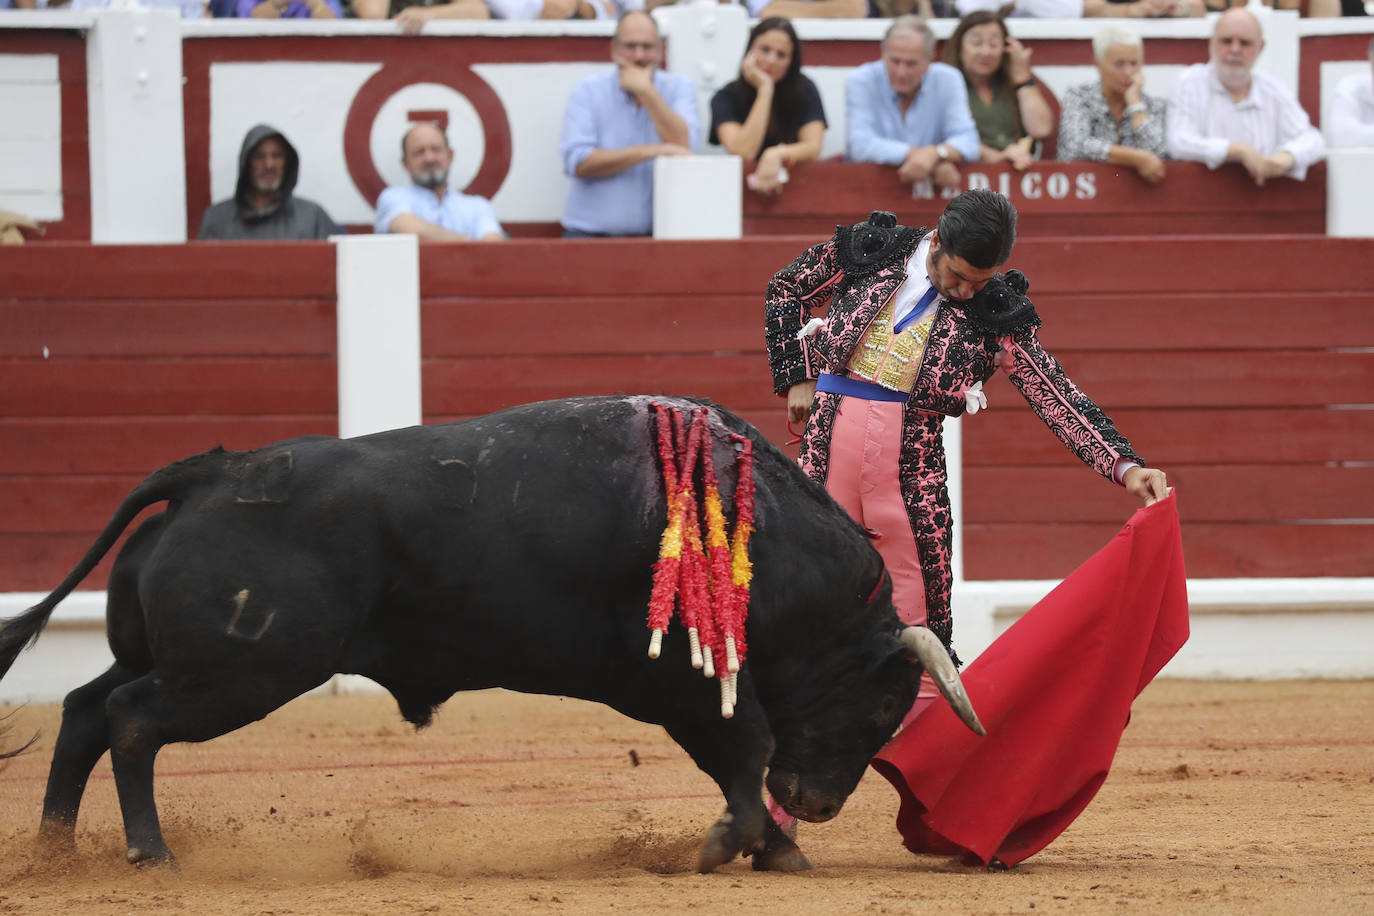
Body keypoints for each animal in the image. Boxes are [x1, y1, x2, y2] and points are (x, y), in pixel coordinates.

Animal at [0, 395, 978, 873]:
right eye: (882, 706)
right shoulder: (694, 690)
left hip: (176, 658)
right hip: (241, 672)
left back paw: (55, 851)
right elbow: (745, 756)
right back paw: (148, 853)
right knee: (129, 720)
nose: (819, 804)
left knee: (85, 711)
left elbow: (746, 760)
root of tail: (208, 472)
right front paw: (741, 848)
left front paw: (780, 851)